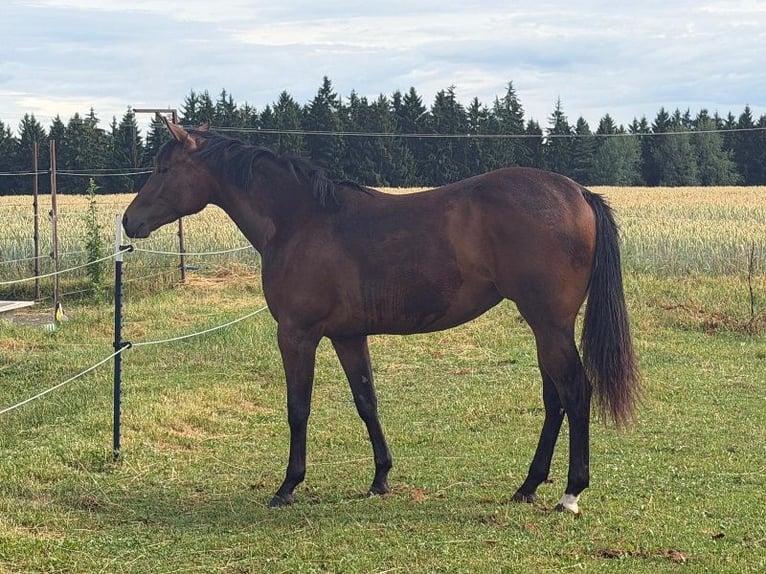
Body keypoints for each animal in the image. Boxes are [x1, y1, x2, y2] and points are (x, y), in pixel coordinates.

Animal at [122, 119, 640, 515]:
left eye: (163, 168)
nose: (129, 221)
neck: (300, 220)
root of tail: (579, 193)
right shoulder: (349, 336)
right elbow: (366, 401)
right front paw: (380, 478)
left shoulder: (296, 335)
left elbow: (298, 407)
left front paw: (288, 486)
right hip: (545, 327)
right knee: (555, 399)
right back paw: (528, 485)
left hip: (550, 325)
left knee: (576, 391)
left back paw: (570, 493)